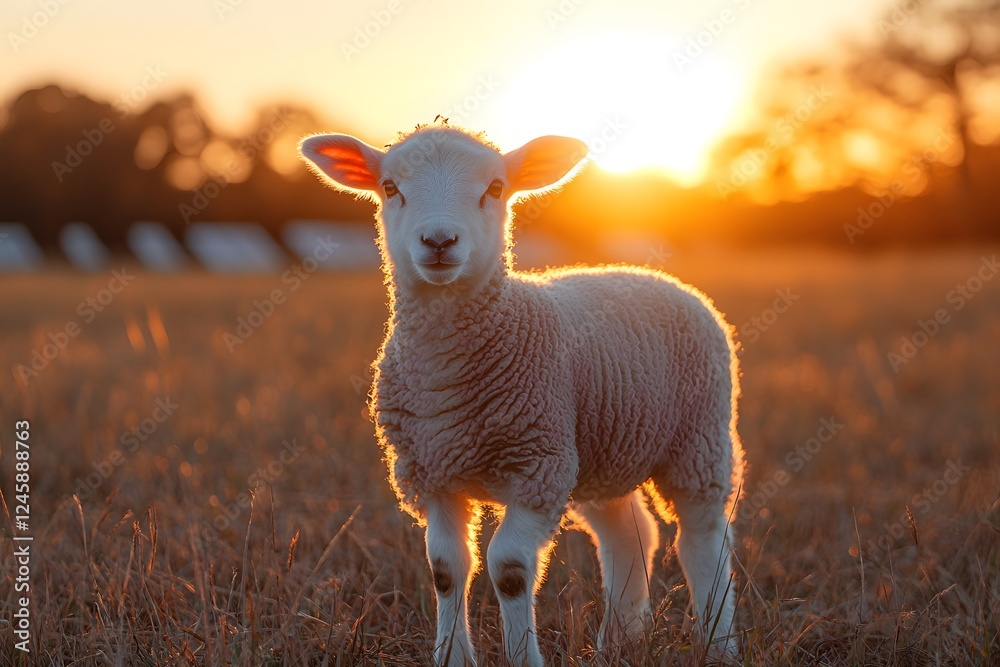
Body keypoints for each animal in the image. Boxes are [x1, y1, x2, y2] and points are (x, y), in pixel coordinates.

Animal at [299, 125, 744, 666]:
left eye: (495, 188)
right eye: (389, 187)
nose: (439, 241)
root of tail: (653, 275)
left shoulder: (537, 468)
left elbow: (508, 569)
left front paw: (520, 654)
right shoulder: (432, 472)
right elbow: (446, 568)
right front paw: (451, 657)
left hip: (698, 440)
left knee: (704, 539)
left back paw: (719, 644)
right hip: (601, 450)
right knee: (629, 533)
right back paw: (620, 639)